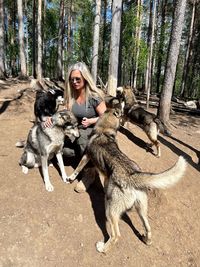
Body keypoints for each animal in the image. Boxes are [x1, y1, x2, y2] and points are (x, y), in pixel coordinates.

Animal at [68, 108, 187, 253]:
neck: (104, 130)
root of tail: (132, 176)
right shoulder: (106, 175)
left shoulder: (86, 156)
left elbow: (78, 168)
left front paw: (70, 178)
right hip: (142, 209)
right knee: (148, 227)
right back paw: (146, 240)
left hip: (110, 211)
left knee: (116, 235)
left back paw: (102, 248)